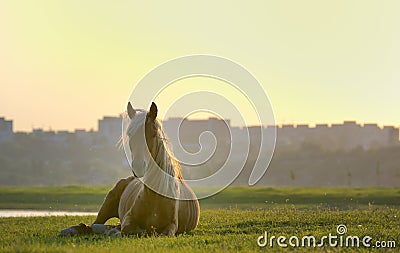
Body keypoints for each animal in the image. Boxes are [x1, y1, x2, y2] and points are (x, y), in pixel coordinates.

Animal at [60, 102, 200, 236]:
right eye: (130, 134)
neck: (155, 197)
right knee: (93, 224)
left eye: (154, 133)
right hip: (107, 205)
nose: (138, 166)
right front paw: (113, 231)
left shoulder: (171, 227)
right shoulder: (128, 219)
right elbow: (131, 230)